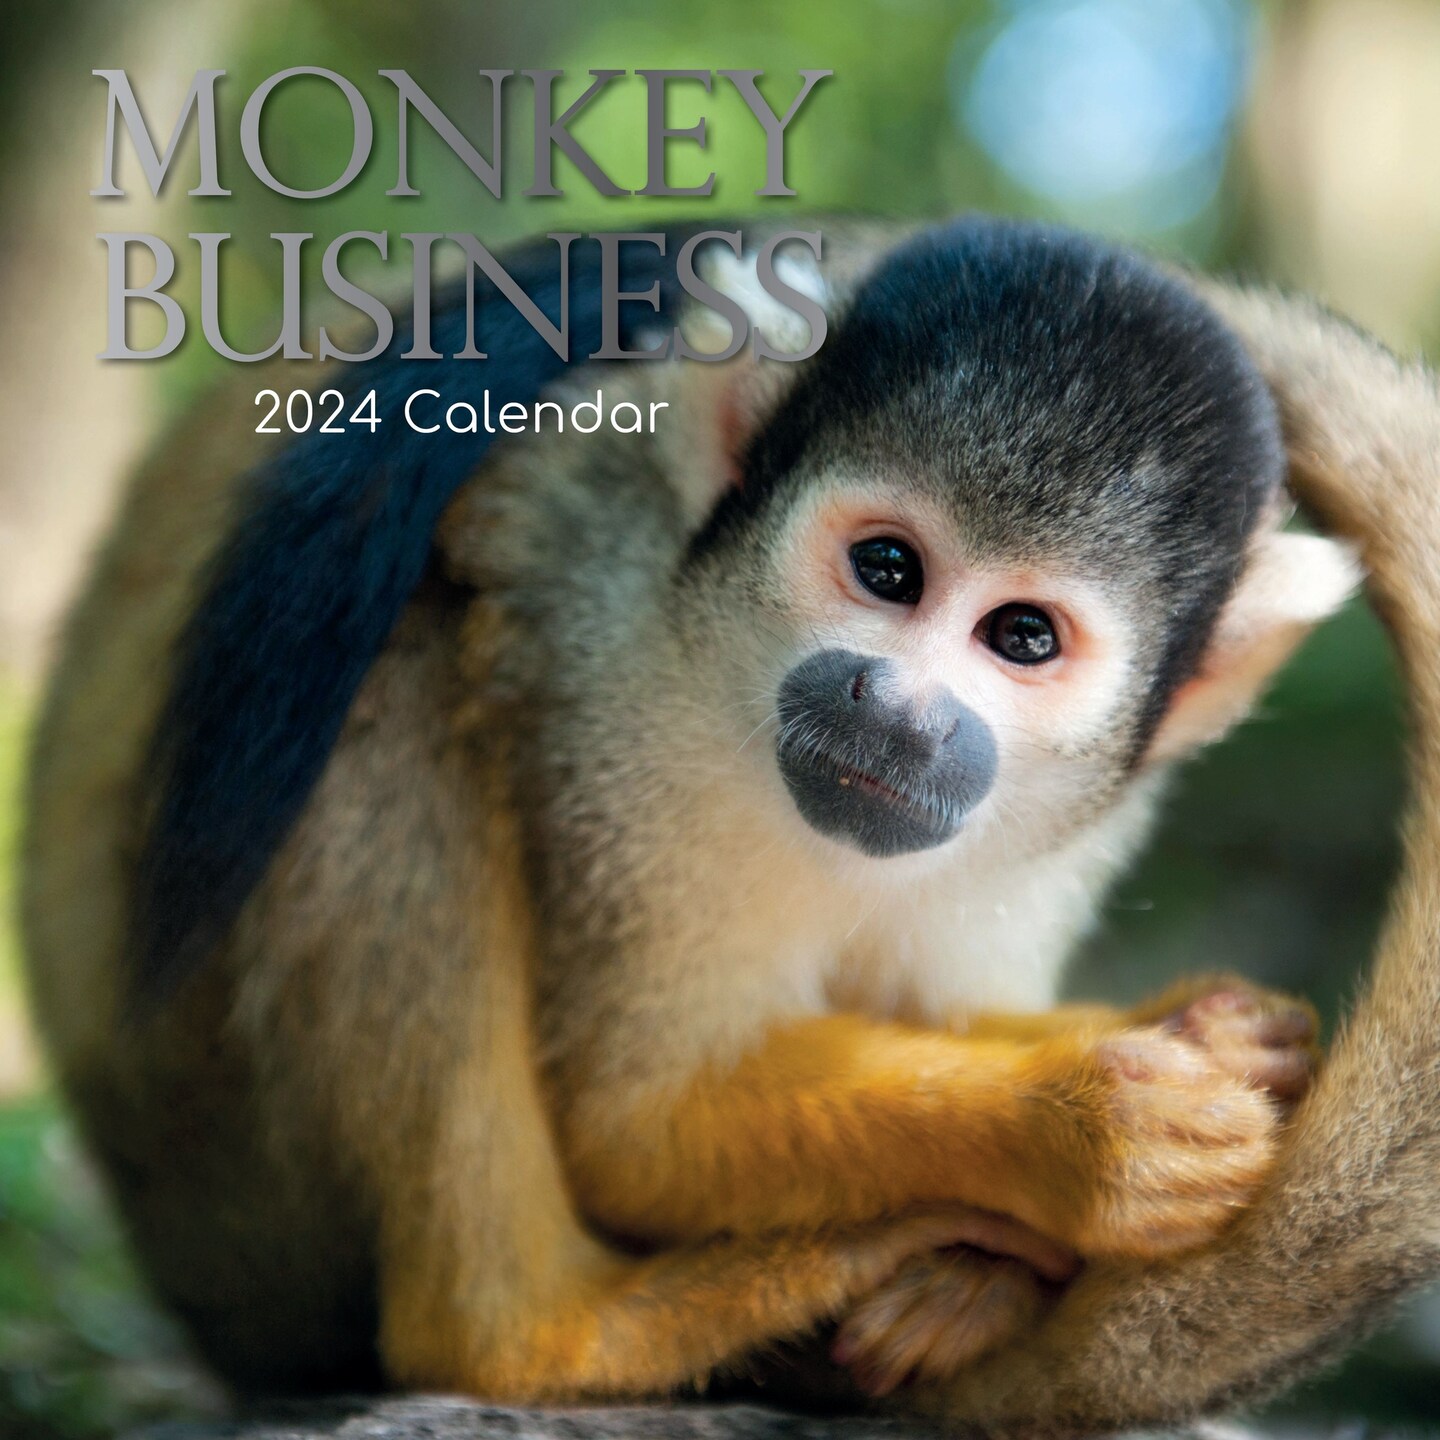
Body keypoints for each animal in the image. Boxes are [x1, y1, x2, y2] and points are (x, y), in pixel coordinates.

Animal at [21, 217, 1352, 1407]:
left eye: (1023, 637)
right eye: (888, 569)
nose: (902, 714)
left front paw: (1195, 1042)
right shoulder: (612, 650)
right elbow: (637, 1117)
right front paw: (1077, 1130)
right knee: (391, 665)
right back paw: (539, 1333)